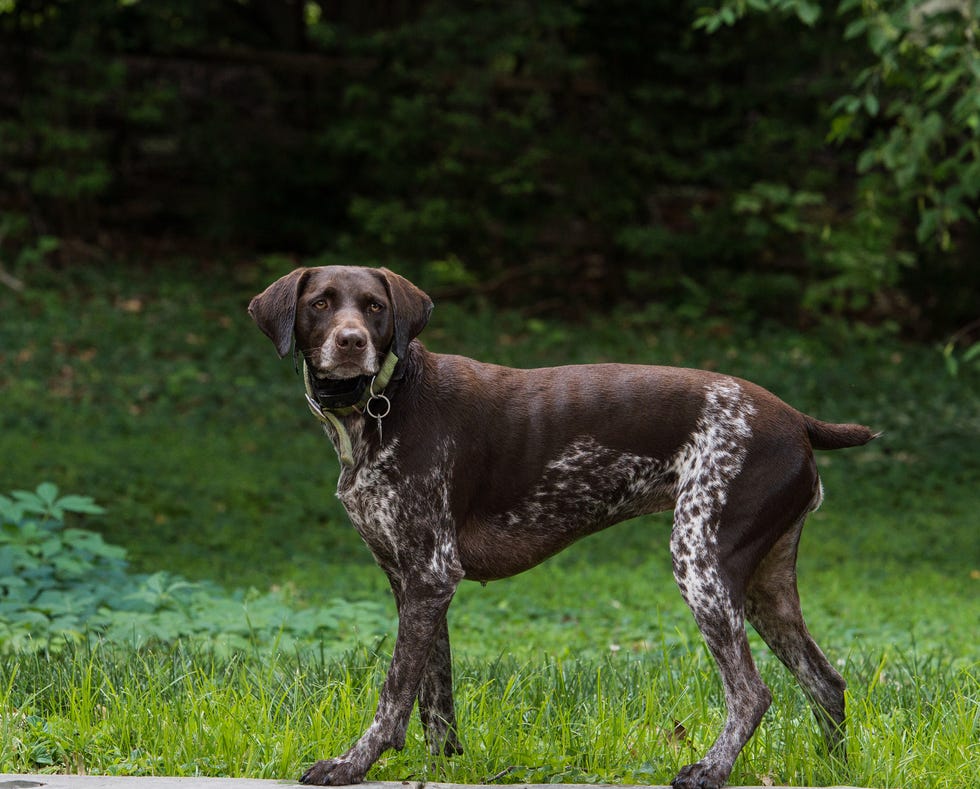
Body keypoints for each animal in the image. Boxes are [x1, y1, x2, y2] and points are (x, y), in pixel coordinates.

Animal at [249, 266, 876, 788]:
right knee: (826, 683)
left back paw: (709, 771)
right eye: (321, 303)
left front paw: (351, 764)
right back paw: (834, 774)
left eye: (375, 307)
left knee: (751, 693)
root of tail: (795, 418)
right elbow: (434, 698)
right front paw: (440, 768)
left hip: (703, 563)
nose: (351, 342)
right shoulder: (414, 583)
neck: (385, 401)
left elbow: (395, 693)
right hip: (766, 588)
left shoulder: (430, 575)